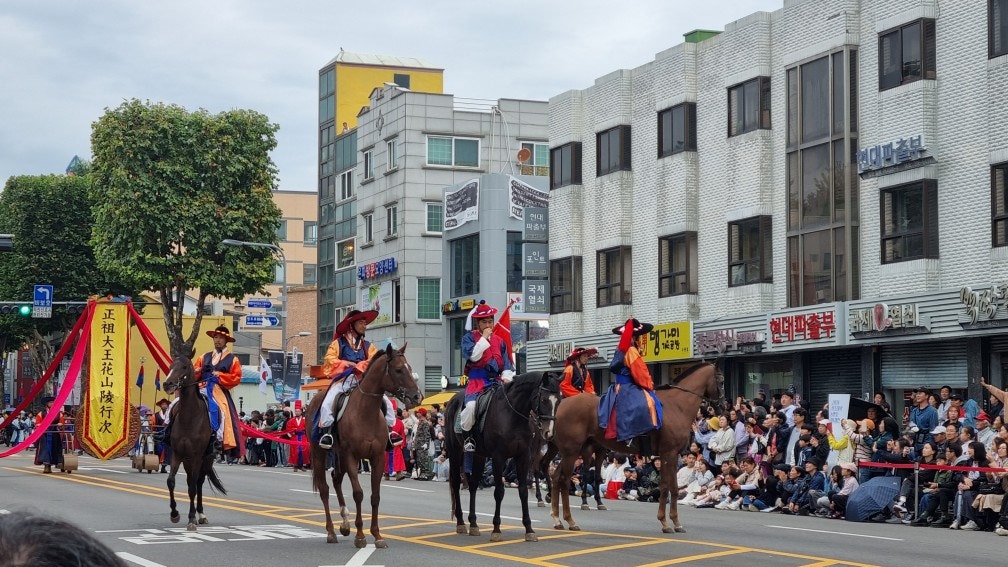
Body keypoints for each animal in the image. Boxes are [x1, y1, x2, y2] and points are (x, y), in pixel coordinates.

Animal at [161, 355, 226, 532]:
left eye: (184, 367)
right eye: (171, 366)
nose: (167, 384)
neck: (189, 418)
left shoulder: (197, 456)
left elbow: (192, 487)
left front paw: (191, 518)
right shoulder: (177, 454)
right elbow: (170, 481)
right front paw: (174, 514)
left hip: (206, 458)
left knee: (198, 482)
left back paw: (201, 515)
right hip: (188, 460)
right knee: (193, 480)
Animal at [302, 343, 421, 544]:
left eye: (410, 368)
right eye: (398, 370)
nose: (417, 397)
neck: (366, 412)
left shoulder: (377, 457)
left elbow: (375, 496)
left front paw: (377, 534)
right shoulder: (351, 456)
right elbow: (358, 494)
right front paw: (360, 535)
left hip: (340, 455)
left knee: (336, 479)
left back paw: (344, 523)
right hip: (320, 452)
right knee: (325, 488)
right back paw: (331, 531)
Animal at [445, 369, 564, 540]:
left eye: (559, 400)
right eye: (544, 399)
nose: (549, 432)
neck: (513, 415)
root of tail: (453, 399)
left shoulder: (523, 456)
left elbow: (523, 491)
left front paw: (529, 529)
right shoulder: (498, 458)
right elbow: (499, 491)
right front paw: (496, 529)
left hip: (479, 455)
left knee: (473, 484)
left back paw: (473, 524)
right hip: (455, 451)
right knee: (455, 483)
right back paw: (461, 522)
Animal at [548, 359, 721, 532]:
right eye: (721, 379)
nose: (722, 405)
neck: (677, 406)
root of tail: (561, 405)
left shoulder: (673, 454)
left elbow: (674, 487)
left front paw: (676, 522)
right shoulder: (668, 453)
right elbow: (666, 486)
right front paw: (664, 522)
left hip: (571, 451)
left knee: (556, 477)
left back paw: (557, 518)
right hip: (572, 451)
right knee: (564, 480)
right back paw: (570, 520)